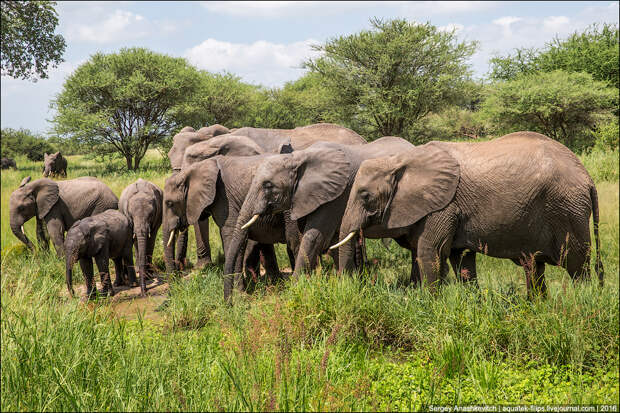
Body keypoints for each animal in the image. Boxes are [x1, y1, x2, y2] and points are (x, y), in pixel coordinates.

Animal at [163, 154, 302, 296]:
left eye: (170, 203)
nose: (175, 287)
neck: (193, 169)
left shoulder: (225, 199)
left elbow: (230, 236)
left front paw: (239, 294)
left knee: (294, 242)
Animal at [225, 135, 414, 296]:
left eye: (268, 185)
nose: (231, 303)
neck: (299, 158)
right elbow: (330, 239)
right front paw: (348, 284)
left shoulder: (336, 195)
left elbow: (314, 236)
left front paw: (295, 292)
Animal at [332, 132, 604, 296]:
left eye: (365, 196)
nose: (351, 288)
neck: (399, 160)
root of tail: (588, 178)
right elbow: (461, 258)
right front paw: (471, 302)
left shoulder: (443, 207)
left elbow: (430, 252)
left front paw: (429, 304)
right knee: (534, 267)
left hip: (567, 210)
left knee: (577, 265)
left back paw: (580, 305)